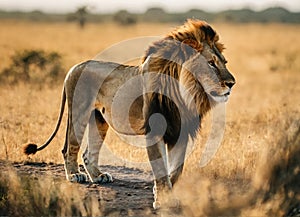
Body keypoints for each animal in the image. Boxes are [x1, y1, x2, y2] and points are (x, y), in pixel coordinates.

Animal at [24, 19, 234, 209]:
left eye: (224, 62)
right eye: (211, 64)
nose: (232, 83)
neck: (184, 91)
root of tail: (75, 66)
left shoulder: (179, 131)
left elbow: (175, 171)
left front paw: (163, 194)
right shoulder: (155, 130)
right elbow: (161, 169)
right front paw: (163, 200)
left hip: (99, 120)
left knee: (88, 153)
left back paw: (99, 176)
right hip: (78, 111)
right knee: (69, 147)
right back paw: (75, 175)